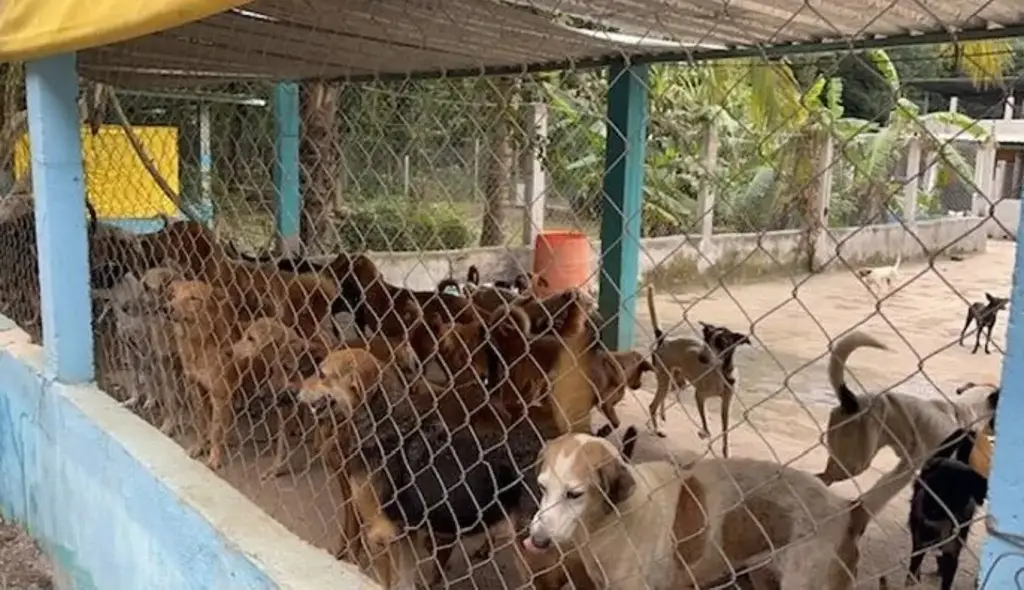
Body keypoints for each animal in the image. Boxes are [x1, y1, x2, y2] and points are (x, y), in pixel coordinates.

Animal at [643, 286, 733, 456]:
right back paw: (658, 429)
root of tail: (664, 340)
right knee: (652, 406)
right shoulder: (700, 395)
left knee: (661, 399)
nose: (703, 357)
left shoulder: (726, 403)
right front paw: (705, 433)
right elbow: (706, 423)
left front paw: (726, 451)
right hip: (666, 380)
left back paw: (662, 416)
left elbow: (725, 429)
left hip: (675, 382)